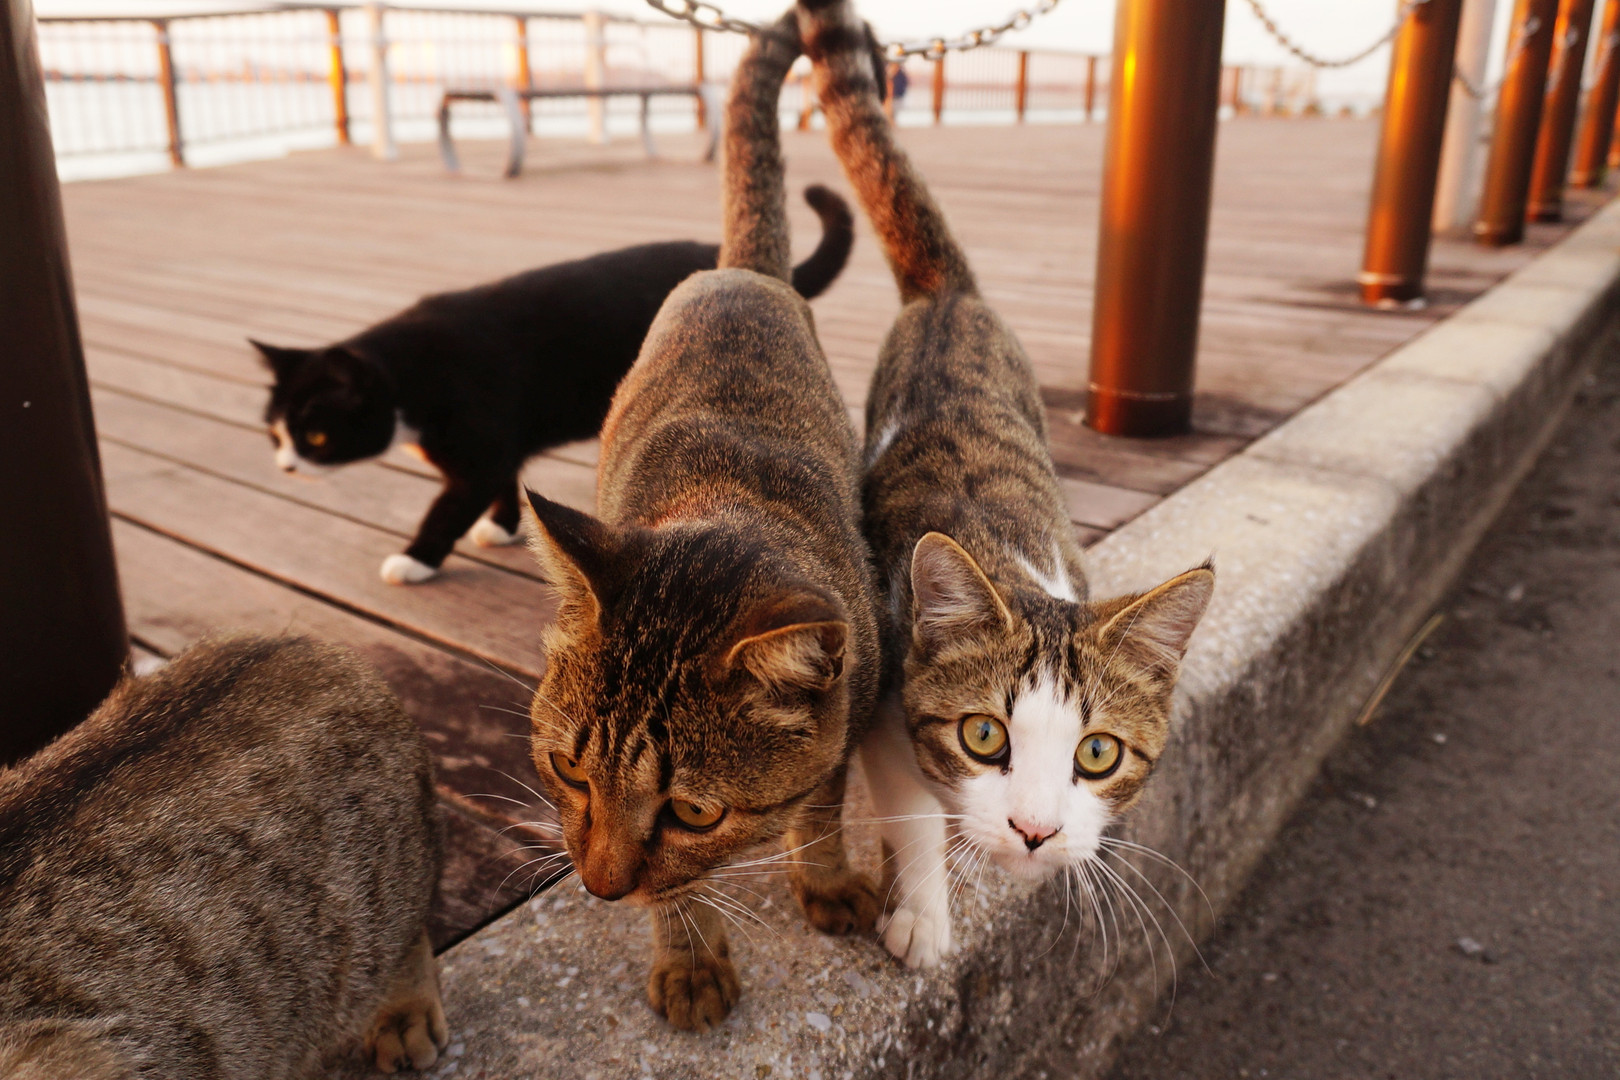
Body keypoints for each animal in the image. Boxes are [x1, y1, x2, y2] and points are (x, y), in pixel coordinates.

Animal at [255, 186, 854, 586]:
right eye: (275, 437)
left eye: (315, 438)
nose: (285, 467)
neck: (410, 377)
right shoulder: (498, 450)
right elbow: (505, 483)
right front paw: (501, 525)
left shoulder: (480, 449)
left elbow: (447, 508)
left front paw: (415, 558)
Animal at [519, 11, 882, 1033]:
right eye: (567, 772)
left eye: (693, 813)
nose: (598, 889)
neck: (727, 503)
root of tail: (738, 272)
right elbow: (680, 898)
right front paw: (686, 954)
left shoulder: (847, 721)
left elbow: (820, 808)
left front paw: (823, 875)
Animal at [796, 0, 1215, 969]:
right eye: (984, 736)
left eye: (1098, 755)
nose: (1033, 832)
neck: (1014, 563)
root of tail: (951, 295)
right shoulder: (886, 697)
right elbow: (911, 808)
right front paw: (923, 909)